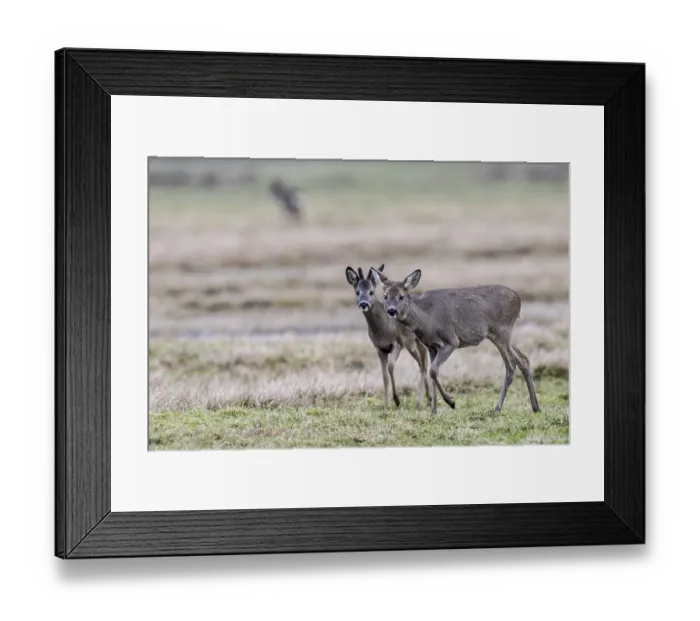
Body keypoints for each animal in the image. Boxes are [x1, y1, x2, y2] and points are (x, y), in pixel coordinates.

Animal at [345, 265, 431, 410]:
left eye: (371, 292)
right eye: (357, 292)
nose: (363, 304)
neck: (384, 329)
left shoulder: (398, 343)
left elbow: (391, 367)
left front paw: (396, 400)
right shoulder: (380, 348)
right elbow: (384, 375)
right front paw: (386, 403)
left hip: (414, 343)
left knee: (423, 366)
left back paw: (420, 402)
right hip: (415, 344)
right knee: (423, 364)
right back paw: (429, 398)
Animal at [370, 267, 541, 416]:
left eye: (401, 296)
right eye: (385, 296)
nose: (391, 311)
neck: (426, 319)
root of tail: (518, 299)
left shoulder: (451, 341)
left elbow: (433, 370)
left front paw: (451, 402)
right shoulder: (432, 346)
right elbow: (432, 372)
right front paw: (433, 411)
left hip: (502, 332)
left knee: (511, 366)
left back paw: (498, 408)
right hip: (502, 335)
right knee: (523, 360)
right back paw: (536, 407)